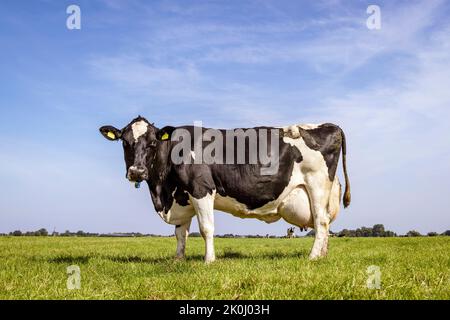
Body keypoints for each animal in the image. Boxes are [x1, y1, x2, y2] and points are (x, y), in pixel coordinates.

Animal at [100, 116, 350, 262]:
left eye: (152, 142)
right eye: (124, 142)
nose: (137, 171)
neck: (163, 191)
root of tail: (331, 125)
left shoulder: (201, 189)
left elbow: (206, 228)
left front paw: (209, 260)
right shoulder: (181, 197)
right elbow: (180, 234)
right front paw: (178, 260)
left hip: (316, 184)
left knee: (321, 222)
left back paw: (313, 257)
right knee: (325, 223)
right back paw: (323, 255)